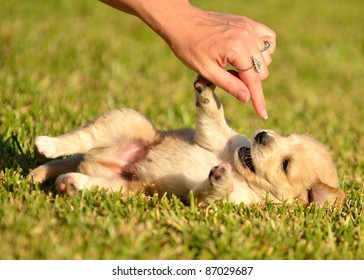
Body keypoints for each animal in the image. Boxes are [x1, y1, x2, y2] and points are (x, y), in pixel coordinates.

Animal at [29, 76, 346, 206]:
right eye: (286, 136)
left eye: (285, 165)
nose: (262, 135)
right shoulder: (220, 139)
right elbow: (213, 115)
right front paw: (207, 89)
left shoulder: (218, 200)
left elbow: (210, 194)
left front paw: (220, 179)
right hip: (129, 121)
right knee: (80, 140)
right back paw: (47, 149)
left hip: (122, 189)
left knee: (83, 173)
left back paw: (69, 183)